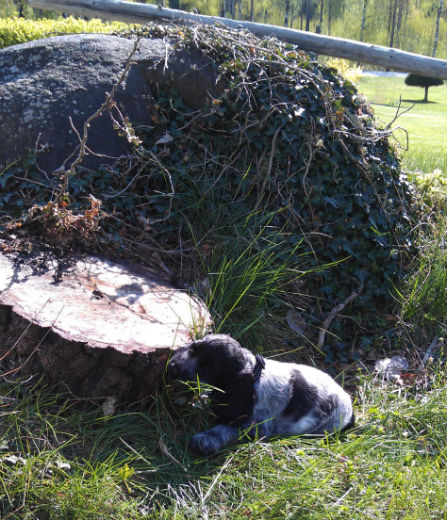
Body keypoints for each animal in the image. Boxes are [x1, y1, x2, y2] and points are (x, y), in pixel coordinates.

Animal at [166, 336, 356, 452]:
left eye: (206, 368)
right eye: (193, 346)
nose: (172, 365)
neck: (251, 373)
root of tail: (350, 407)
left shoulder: (255, 424)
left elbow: (224, 428)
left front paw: (204, 439)